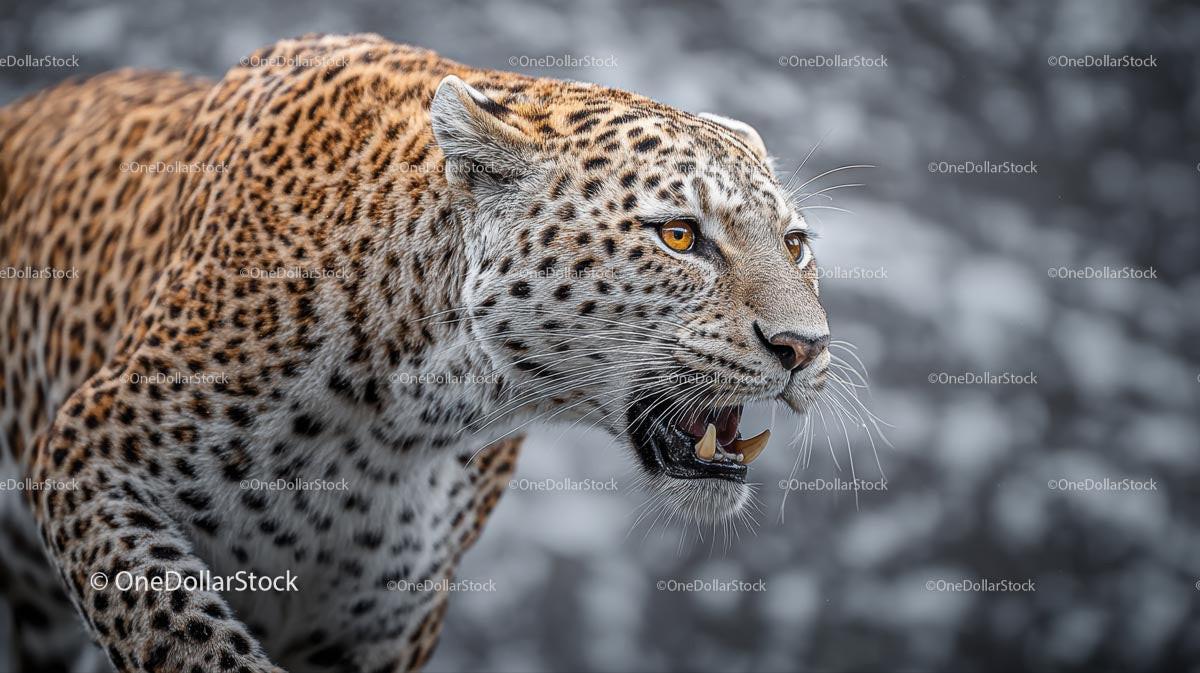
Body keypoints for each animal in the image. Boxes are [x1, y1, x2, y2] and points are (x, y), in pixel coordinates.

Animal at [0, 33, 830, 672]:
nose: (805, 346)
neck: (407, 408)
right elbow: (183, 633)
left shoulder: (389, 618)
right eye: (680, 236)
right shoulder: (86, 457)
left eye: (794, 244)